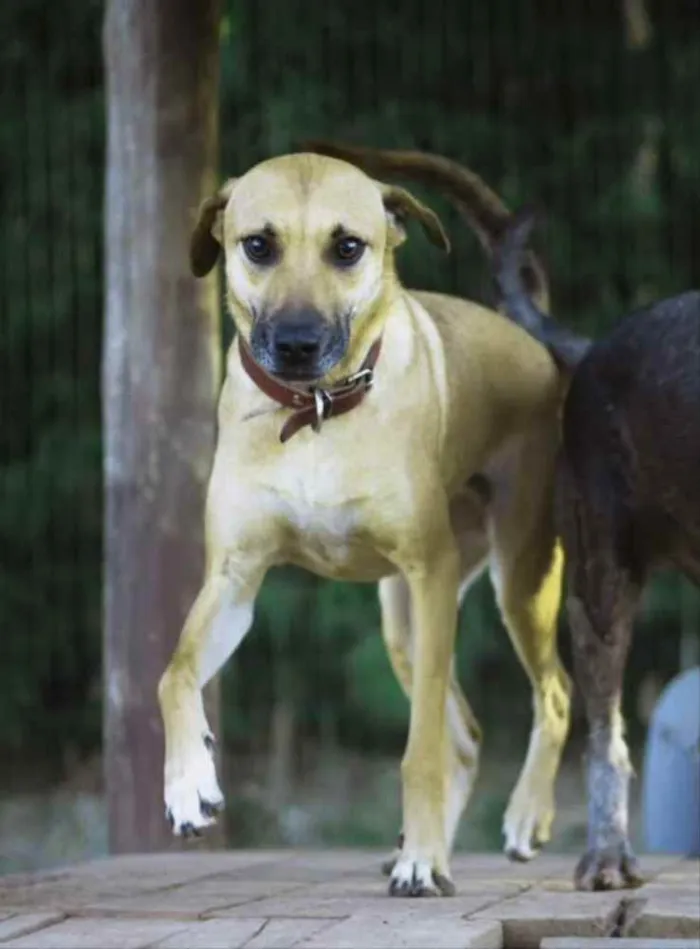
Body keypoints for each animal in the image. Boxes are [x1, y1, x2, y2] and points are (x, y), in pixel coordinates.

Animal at [160, 148, 576, 896]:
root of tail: (532, 344)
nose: (297, 344)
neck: (316, 412)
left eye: (348, 247)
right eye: (257, 244)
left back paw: (522, 819)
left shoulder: (431, 572)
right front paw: (187, 785)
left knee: (553, 694)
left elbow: (419, 748)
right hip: (403, 623)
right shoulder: (233, 582)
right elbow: (173, 672)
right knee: (466, 735)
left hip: (519, 582)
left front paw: (425, 859)